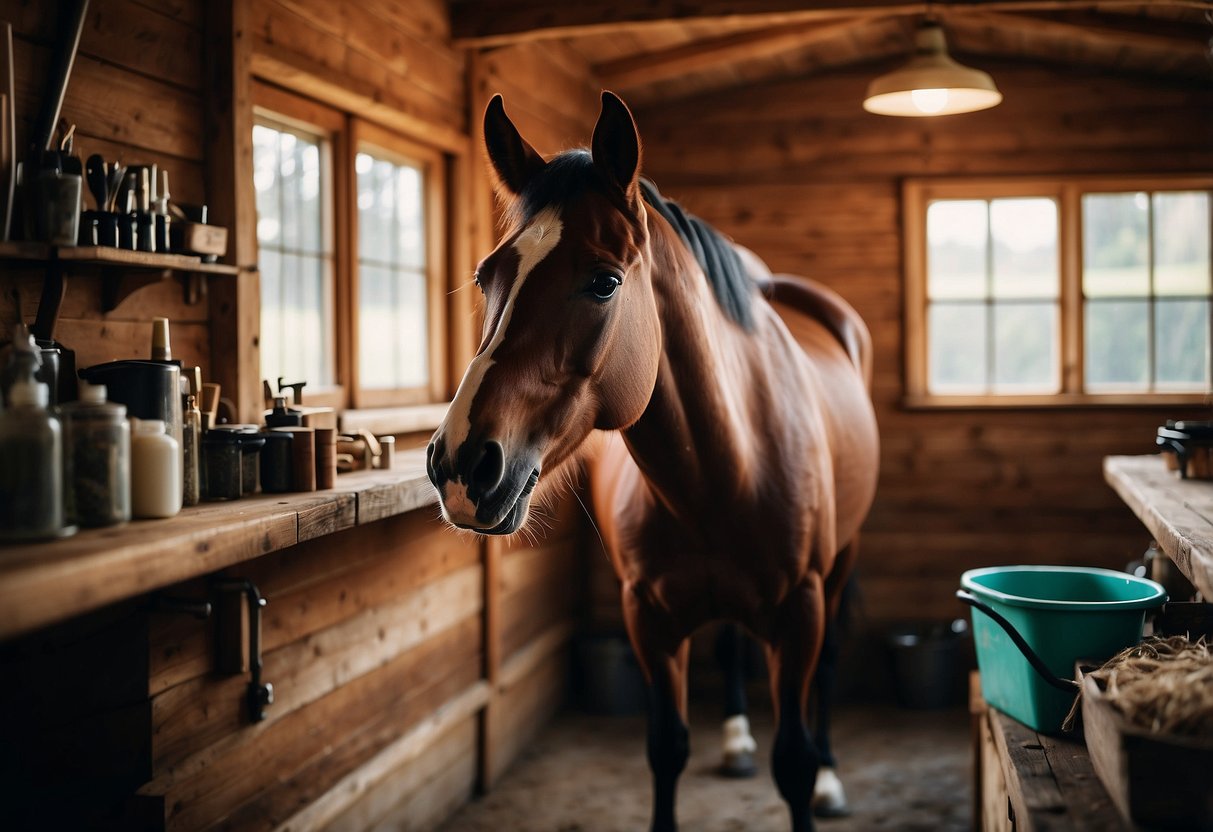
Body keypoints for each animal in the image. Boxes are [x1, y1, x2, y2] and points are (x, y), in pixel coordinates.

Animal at [431, 92, 878, 832]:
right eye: (485, 276)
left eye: (603, 281)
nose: (462, 464)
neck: (726, 469)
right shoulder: (648, 618)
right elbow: (665, 748)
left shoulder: (801, 614)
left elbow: (793, 759)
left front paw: (813, 777)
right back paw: (736, 741)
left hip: (842, 563)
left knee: (833, 666)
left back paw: (833, 779)